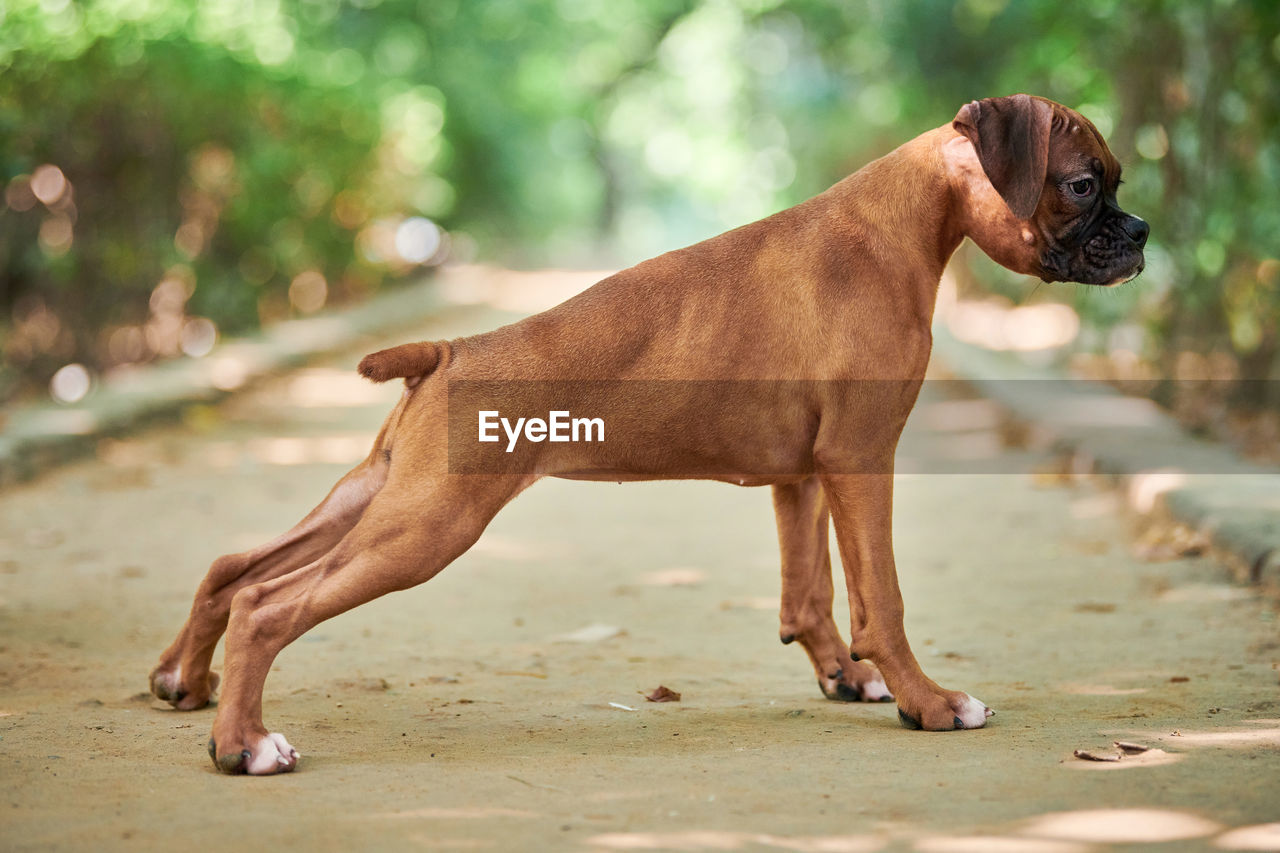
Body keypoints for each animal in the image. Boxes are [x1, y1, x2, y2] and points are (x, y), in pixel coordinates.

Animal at [152, 92, 1152, 768]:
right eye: (1080, 186)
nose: (1140, 231)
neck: (901, 222)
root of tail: (450, 350)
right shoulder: (863, 459)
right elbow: (883, 598)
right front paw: (928, 701)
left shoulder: (801, 473)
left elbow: (809, 593)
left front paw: (845, 676)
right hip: (427, 525)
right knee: (269, 602)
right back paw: (244, 745)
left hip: (375, 497)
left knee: (234, 568)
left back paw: (185, 682)